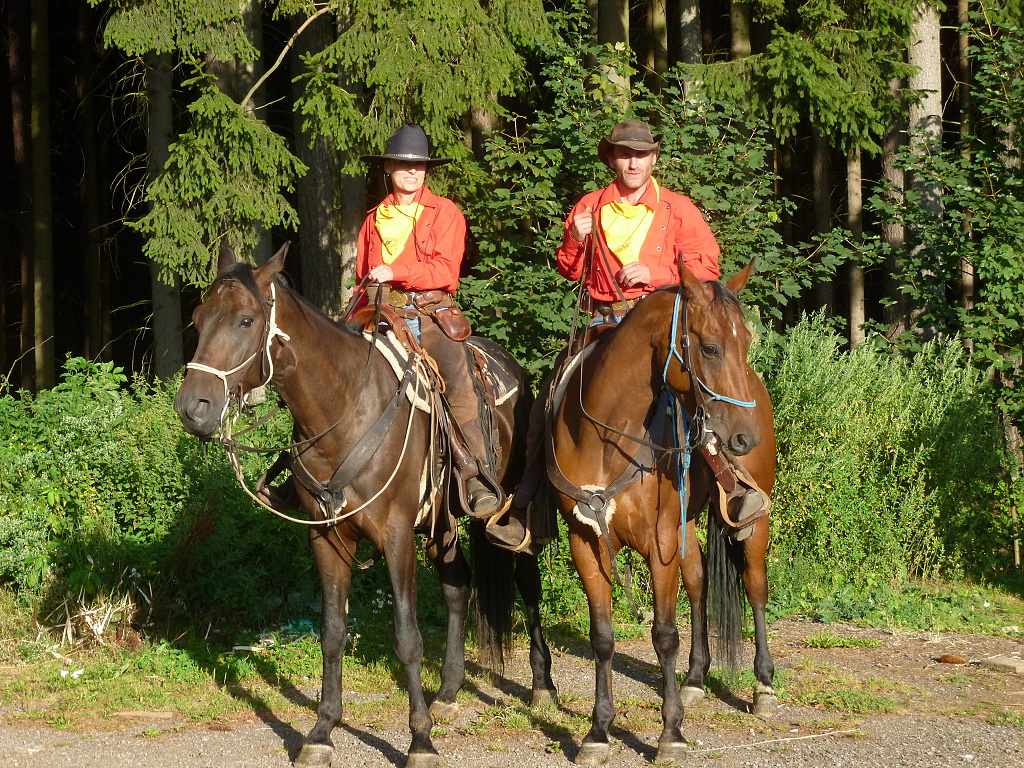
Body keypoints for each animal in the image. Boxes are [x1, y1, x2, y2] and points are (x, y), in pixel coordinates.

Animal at [178, 246, 561, 768]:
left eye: (245, 320)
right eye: (198, 319)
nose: (192, 407)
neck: (344, 412)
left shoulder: (396, 535)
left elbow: (407, 637)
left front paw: (420, 740)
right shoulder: (325, 536)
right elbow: (333, 632)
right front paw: (321, 731)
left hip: (506, 512)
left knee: (527, 582)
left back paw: (542, 686)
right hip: (440, 524)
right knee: (458, 586)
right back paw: (449, 691)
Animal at [548, 264, 770, 765]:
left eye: (746, 340)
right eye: (710, 347)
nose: (743, 437)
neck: (609, 437)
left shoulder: (660, 543)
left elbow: (665, 634)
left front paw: (670, 733)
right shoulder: (585, 541)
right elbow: (603, 637)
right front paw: (597, 732)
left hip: (751, 524)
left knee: (755, 586)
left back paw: (764, 685)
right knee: (700, 583)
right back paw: (695, 680)